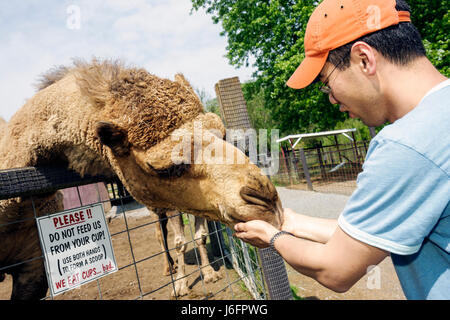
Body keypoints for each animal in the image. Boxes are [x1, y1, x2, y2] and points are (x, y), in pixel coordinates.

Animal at [0, 58, 282, 300]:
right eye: (162, 168)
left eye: (222, 132)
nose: (266, 201)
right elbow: (179, 242)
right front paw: (180, 287)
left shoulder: (34, 271)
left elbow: (200, 235)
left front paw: (210, 274)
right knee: (161, 235)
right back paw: (169, 269)